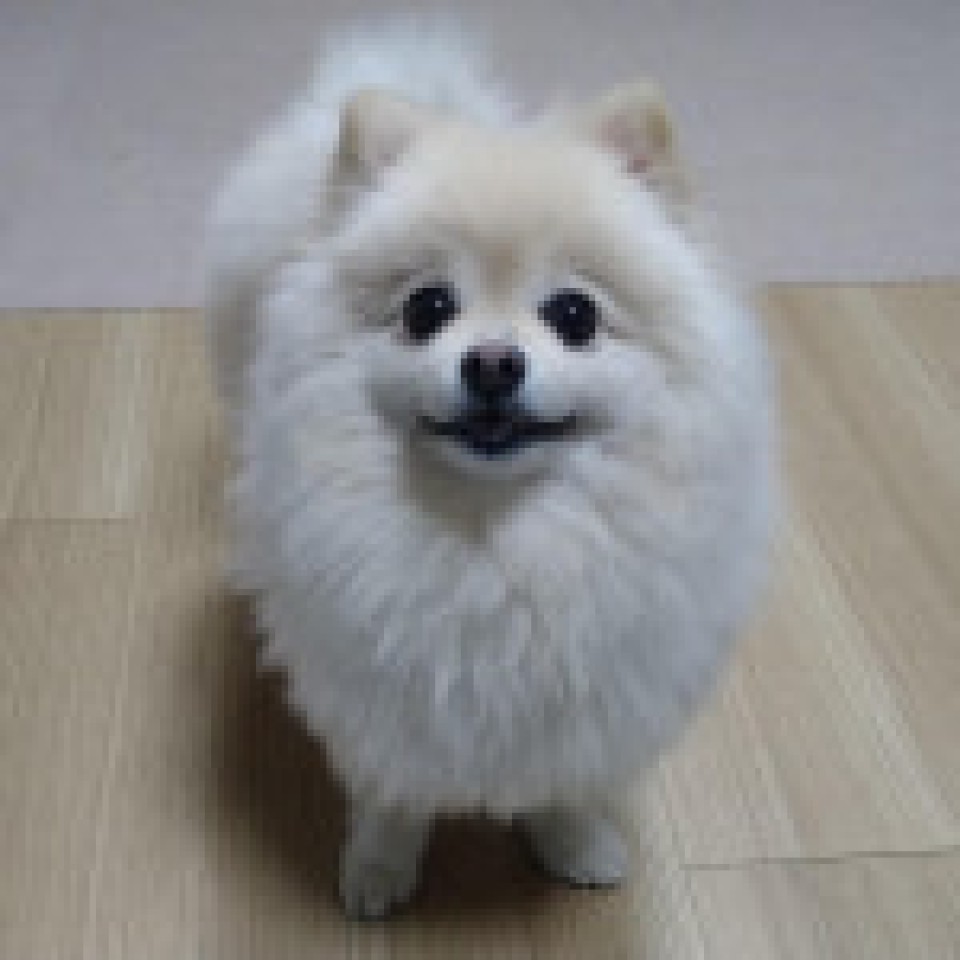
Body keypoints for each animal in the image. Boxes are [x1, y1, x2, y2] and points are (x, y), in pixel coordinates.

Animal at [204, 23, 774, 919]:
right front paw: (379, 868)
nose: (495, 362)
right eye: (426, 308)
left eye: (573, 315)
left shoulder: (583, 697)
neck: (494, 538)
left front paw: (573, 843)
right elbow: (393, 791)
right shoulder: (378, 688)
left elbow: (560, 781)